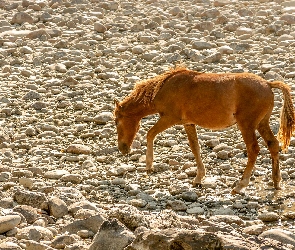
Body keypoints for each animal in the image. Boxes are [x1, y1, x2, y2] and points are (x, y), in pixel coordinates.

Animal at [114, 67, 295, 195]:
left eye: (117, 121)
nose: (122, 148)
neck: (165, 87)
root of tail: (268, 84)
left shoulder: (169, 118)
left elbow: (150, 133)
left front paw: (149, 165)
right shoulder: (188, 123)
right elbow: (195, 147)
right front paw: (199, 177)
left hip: (247, 125)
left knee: (253, 150)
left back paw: (240, 186)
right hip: (261, 124)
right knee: (273, 144)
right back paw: (276, 181)